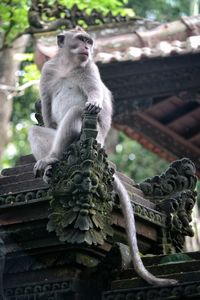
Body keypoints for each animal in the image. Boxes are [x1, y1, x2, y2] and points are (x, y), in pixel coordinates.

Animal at [28, 27, 177, 288]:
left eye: (89, 41)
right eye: (81, 40)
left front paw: (96, 102)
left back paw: (53, 158)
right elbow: (46, 110)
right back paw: (50, 164)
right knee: (37, 131)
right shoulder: (48, 71)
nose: (88, 47)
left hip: (87, 137)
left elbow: (93, 97)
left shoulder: (90, 69)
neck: (68, 65)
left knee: (76, 112)